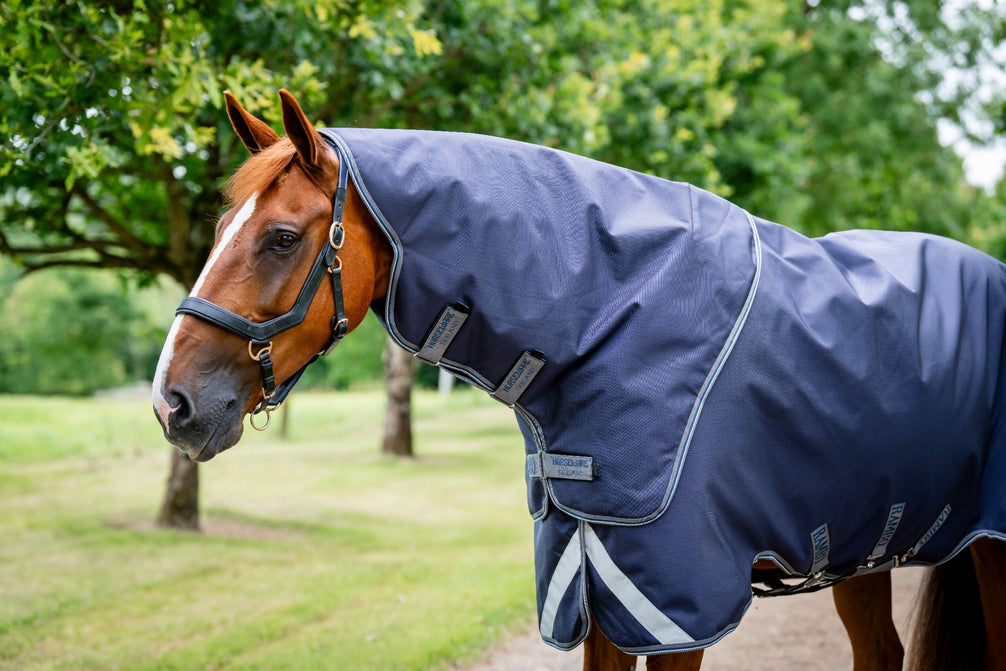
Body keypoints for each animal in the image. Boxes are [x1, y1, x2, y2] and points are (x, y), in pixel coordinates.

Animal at [153, 89, 1006, 671]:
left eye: (281, 236)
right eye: (223, 227)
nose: (174, 402)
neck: (612, 313)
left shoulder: (675, 597)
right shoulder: (593, 586)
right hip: (860, 546)